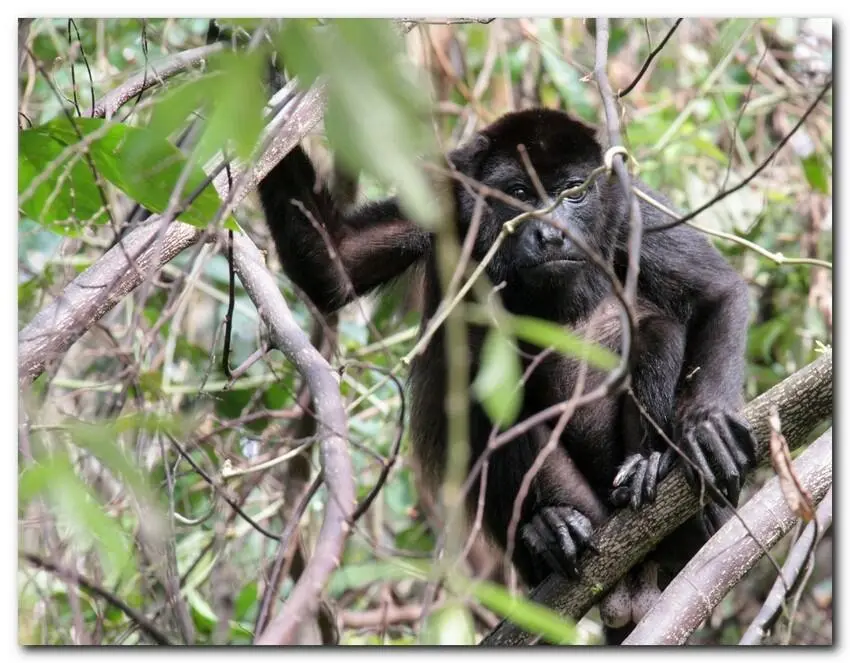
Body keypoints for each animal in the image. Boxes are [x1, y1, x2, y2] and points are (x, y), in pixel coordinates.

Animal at [255, 109, 752, 644]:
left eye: (572, 191)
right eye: (517, 192)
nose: (550, 234)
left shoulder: (630, 207)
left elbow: (717, 292)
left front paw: (706, 425)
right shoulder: (444, 197)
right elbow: (333, 262)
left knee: (656, 332)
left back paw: (660, 481)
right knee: (485, 389)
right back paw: (550, 530)